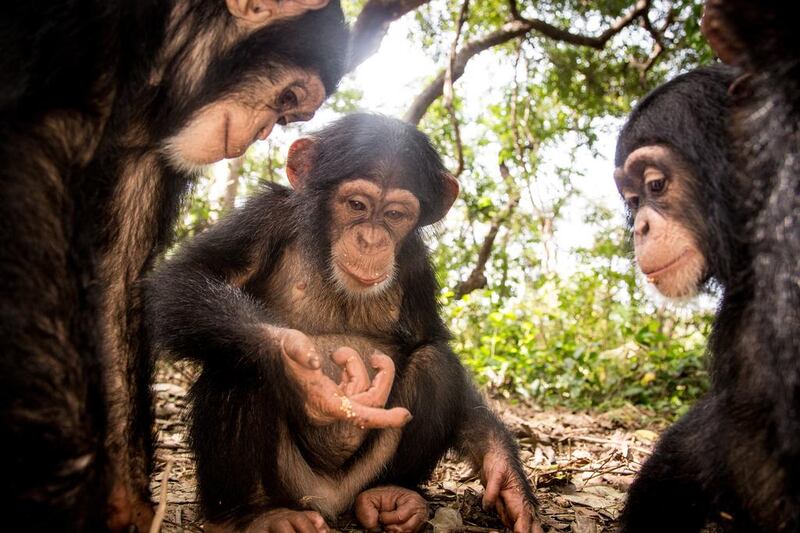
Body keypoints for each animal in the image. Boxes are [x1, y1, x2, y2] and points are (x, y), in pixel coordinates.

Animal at [1, 2, 348, 528]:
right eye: (287, 96)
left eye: (290, 112)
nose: (261, 132)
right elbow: (32, 164)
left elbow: (118, 268)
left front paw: (125, 501)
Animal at [145, 114, 544, 532]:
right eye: (356, 205)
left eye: (395, 214)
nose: (371, 239)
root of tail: (331, 502)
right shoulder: (263, 218)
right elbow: (181, 280)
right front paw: (300, 372)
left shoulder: (418, 267)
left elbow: (429, 340)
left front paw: (506, 475)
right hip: (294, 483)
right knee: (237, 363)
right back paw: (255, 515)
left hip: (363, 475)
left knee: (435, 363)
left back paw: (395, 495)